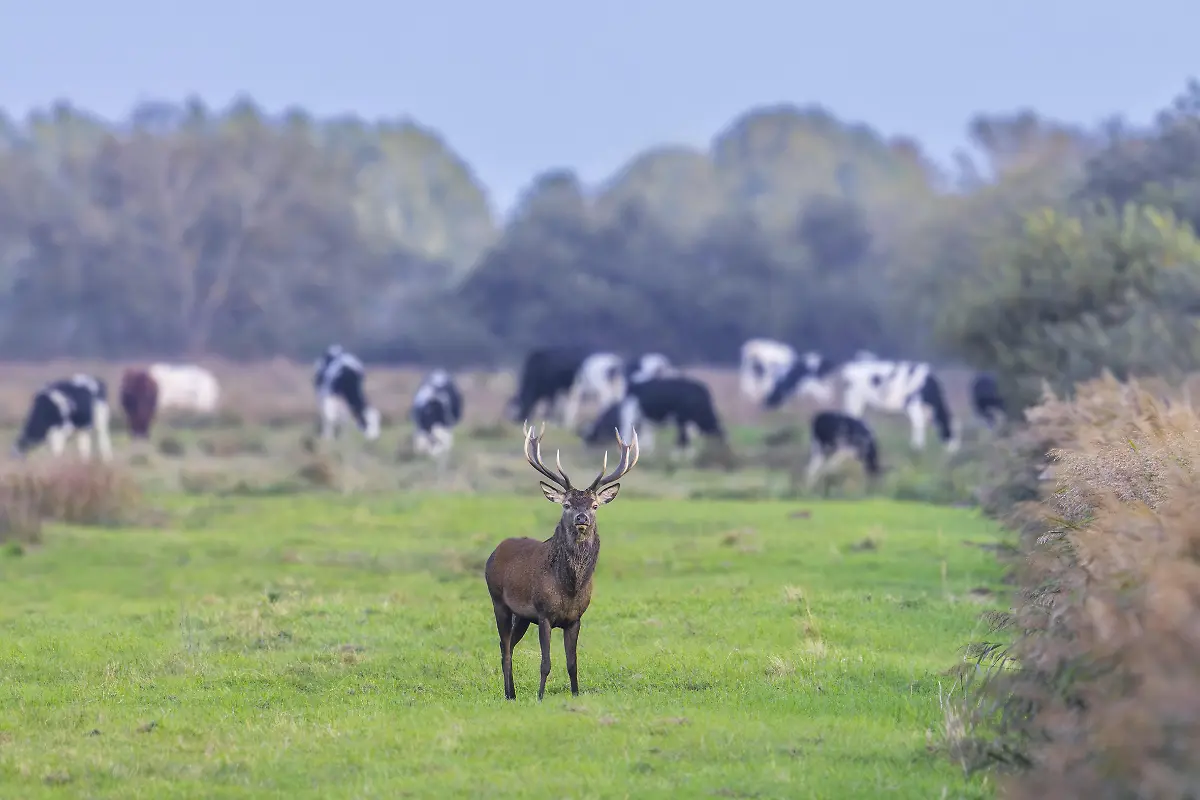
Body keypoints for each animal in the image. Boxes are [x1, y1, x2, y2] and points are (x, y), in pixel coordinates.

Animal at [484, 420, 640, 701]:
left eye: (595, 505)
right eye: (566, 504)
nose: (581, 518)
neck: (569, 587)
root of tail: (495, 552)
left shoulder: (575, 619)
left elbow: (572, 662)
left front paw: (576, 695)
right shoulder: (544, 614)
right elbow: (545, 663)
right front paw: (540, 697)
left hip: (522, 616)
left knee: (508, 644)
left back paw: (512, 693)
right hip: (498, 600)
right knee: (505, 647)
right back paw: (509, 694)